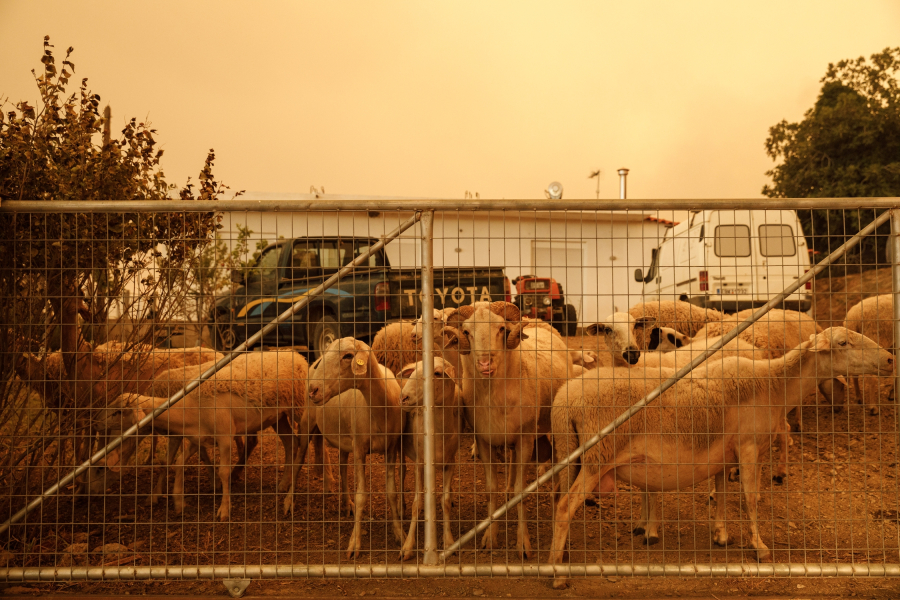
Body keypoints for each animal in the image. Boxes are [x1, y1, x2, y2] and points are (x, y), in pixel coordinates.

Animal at [310, 338, 408, 556]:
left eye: (348, 356)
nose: (313, 389)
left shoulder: (391, 448)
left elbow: (392, 493)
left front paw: (400, 534)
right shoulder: (360, 450)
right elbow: (362, 496)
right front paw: (355, 543)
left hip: (345, 439)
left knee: (342, 467)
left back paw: (347, 504)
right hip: (306, 421)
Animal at [396, 358, 464, 560]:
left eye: (437, 373)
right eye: (414, 371)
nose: (403, 398)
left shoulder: (450, 463)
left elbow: (445, 502)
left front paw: (449, 542)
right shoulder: (420, 463)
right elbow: (417, 504)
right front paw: (408, 547)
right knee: (401, 471)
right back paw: (400, 506)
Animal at [454, 300, 572, 556]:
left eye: (501, 329)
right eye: (466, 332)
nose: (484, 363)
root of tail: (535, 320)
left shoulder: (525, 438)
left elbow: (521, 491)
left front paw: (523, 543)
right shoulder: (484, 440)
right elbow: (491, 489)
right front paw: (490, 536)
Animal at [548, 326, 892, 588]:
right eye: (843, 343)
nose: (890, 358)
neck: (772, 384)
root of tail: (565, 401)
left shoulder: (725, 455)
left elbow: (723, 494)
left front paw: (721, 535)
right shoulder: (749, 446)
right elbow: (751, 498)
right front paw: (760, 548)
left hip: (570, 455)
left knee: (559, 501)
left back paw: (562, 557)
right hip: (596, 457)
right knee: (564, 507)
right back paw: (556, 574)